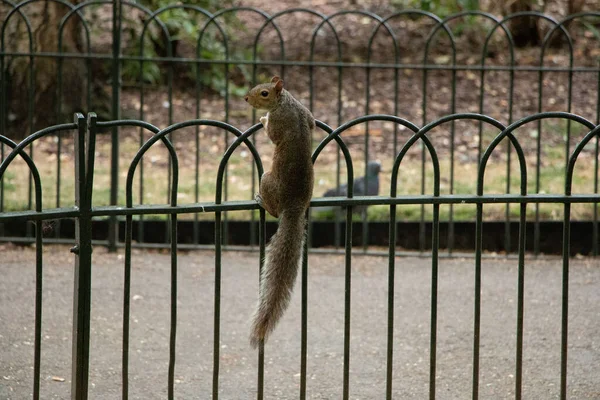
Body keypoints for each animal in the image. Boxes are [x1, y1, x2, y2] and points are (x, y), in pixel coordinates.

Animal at [245, 76, 316, 348]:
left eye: (263, 93)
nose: (246, 98)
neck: (286, 102)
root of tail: (294, 206)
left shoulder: (279, 121)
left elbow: (272, 134)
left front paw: (263, 119)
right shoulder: (307, 114)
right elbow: (313, 122)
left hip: (266, 180)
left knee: (273, 210)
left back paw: (261, 201)